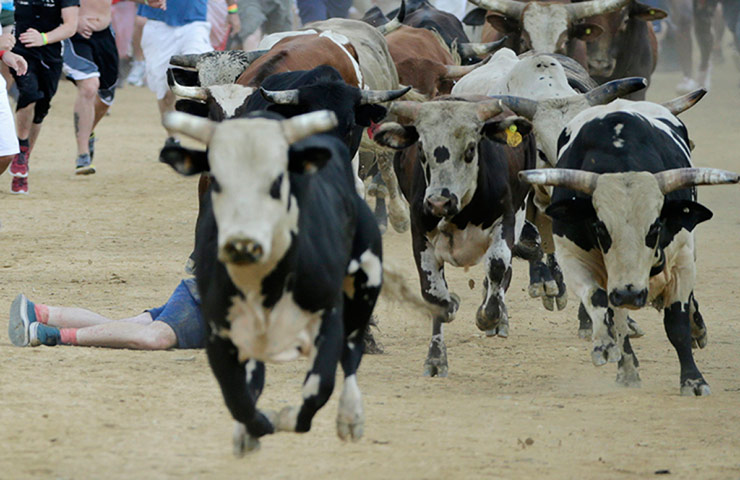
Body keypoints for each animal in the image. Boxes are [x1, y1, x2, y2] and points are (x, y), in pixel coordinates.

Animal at [159, 109, 384, 453]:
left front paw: (286, 418)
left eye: (277, 180)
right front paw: (252, 429)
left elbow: (319, 386)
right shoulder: (220, 332)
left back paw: (350, 416)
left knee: (352, 352)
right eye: (217, 180)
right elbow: (237, 397)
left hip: (365, 287)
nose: (242, 244)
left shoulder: (328, 316)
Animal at [372, 97, 536, 377]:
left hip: (521, 210)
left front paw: (488, 316)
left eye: (470, 149)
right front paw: (436, 358)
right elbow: (435, 295)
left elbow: (497, 268)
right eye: (422, 149)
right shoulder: (420, 237)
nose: (439, 202)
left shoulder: (506, 221)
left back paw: (499, 318)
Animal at [518, 93, 739, 395]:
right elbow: (603, 306)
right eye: (600, 227)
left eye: (655, 226)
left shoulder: (682, 259)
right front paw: (613, 354)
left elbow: (677, 323)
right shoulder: (575, 259)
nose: (630, 295)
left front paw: (693, 380)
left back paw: (697, 329)